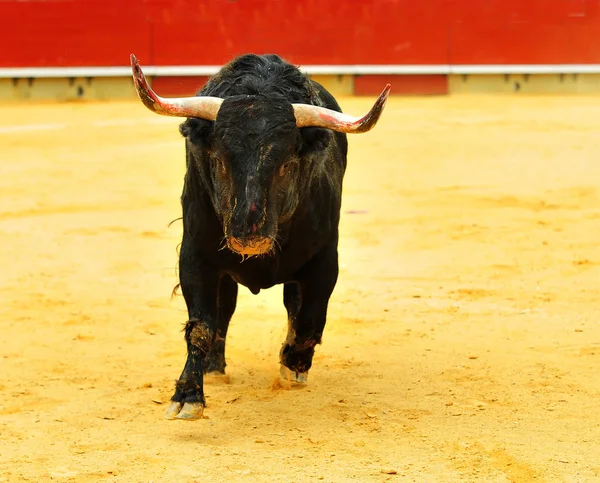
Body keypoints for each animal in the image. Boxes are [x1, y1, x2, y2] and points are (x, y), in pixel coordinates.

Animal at [129, 53, 390, 420]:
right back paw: (214, 366)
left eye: (286, 165)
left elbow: (309, 320)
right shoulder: (195, 256)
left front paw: (292, 363)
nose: (248, 237)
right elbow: (201, 325)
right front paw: (187, 396)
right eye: (219, 161)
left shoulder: (325, 259)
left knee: (294, 308)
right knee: (225, 309)